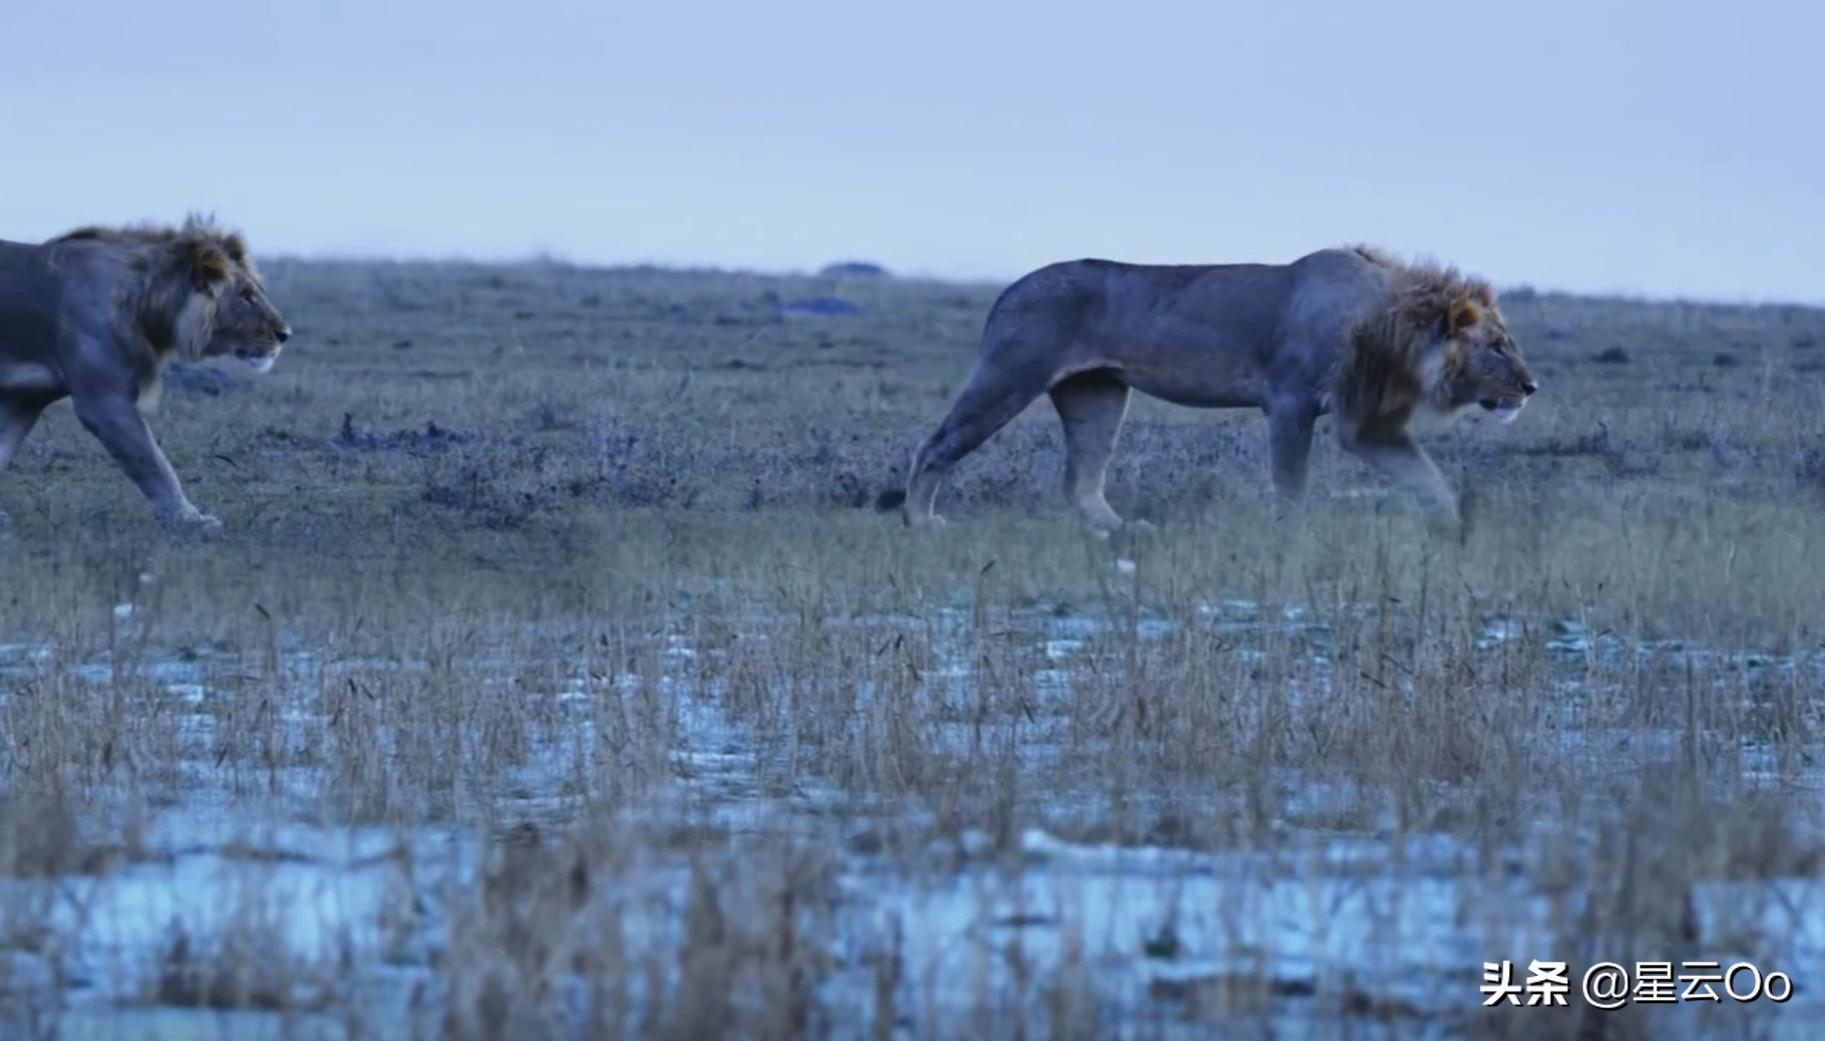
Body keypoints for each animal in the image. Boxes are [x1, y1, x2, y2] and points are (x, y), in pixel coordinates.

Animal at [0, 215, 288, 529]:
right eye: (246, 297)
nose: (285, 334)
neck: (148, 303)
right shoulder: (104, 402)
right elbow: (153, 463)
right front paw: (189, 519)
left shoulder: (24, 401)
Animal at [905, 246, 1533, 529]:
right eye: (1498, 346)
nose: (1531, 387)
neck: (1390, 324)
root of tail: (1009, 286)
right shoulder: (1289, 402)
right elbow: (1291, 484)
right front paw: (1291, 536)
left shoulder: (1367, 424)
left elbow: (1427, 477)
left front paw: (1453, 527)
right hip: (1009, 377)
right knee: (934, 446)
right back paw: (920, 520)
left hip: (1098, 394)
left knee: (1080, 479)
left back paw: (1121, 531)